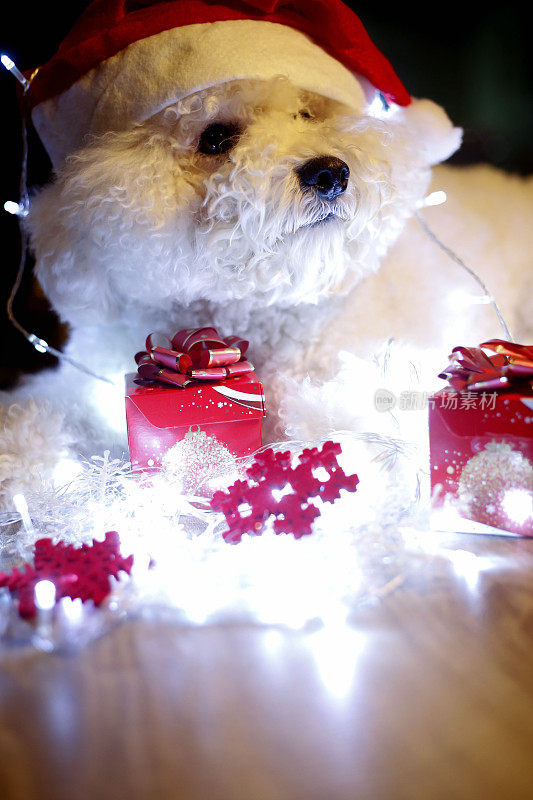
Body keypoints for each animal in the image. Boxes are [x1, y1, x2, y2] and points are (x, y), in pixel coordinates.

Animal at [0, 3, 528, 506]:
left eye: (307, 114)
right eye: (215, 138)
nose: (330, 173)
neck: (258, 310)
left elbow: (334, 428)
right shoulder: (90, 376)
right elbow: (44, 411)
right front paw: (17, 463)